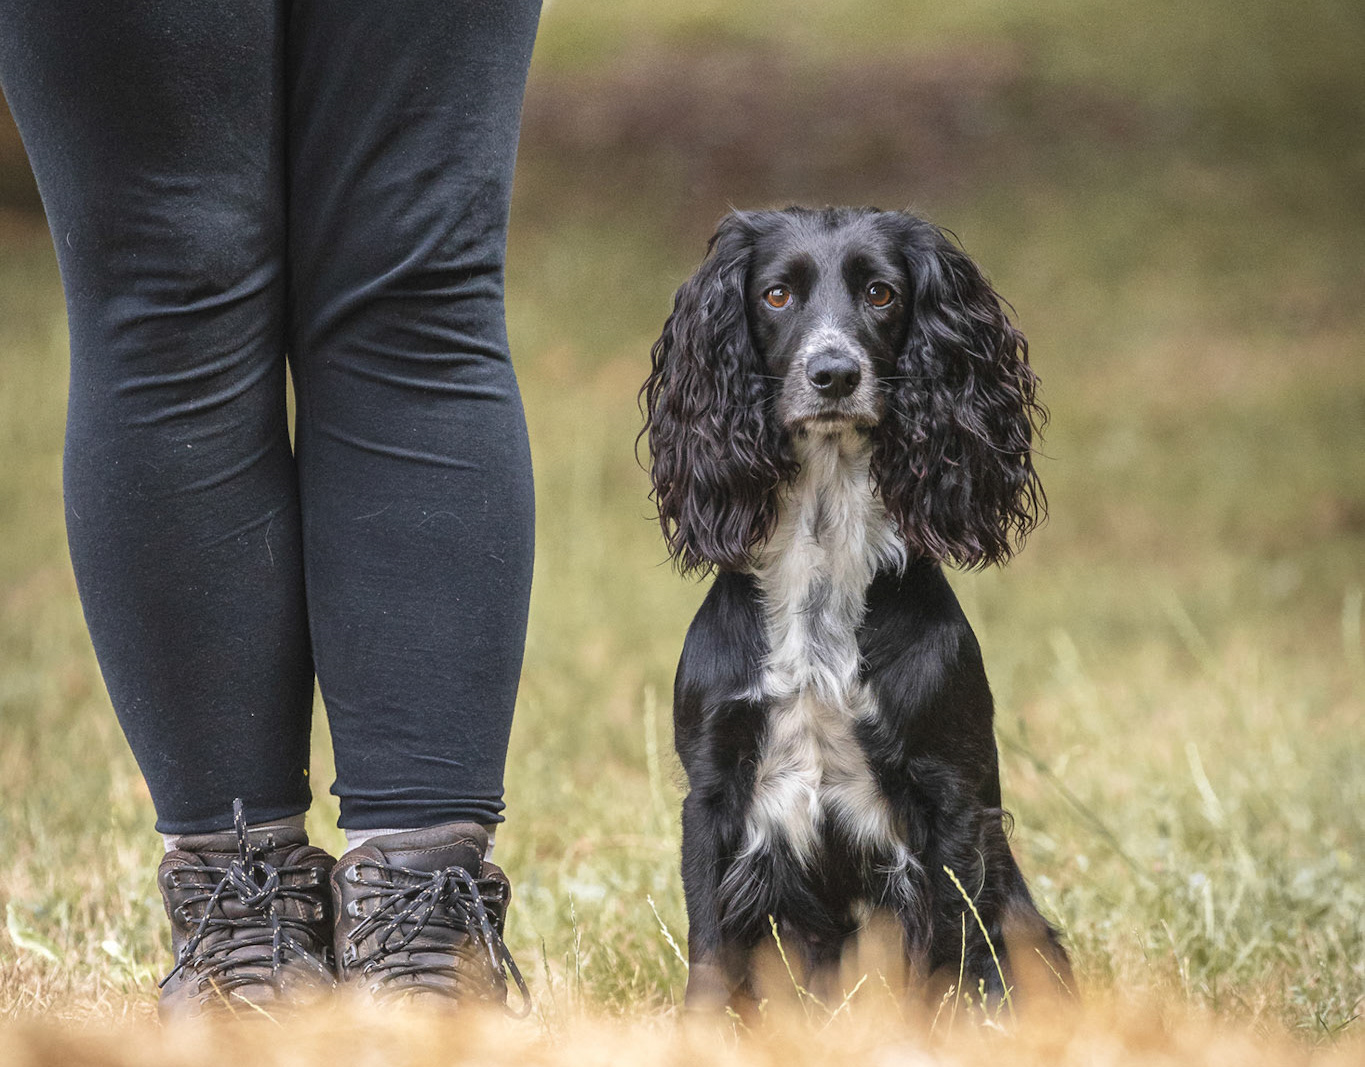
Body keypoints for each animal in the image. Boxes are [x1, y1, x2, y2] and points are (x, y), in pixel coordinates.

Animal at [642, 207, 1073, 1014]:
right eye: (777, 295)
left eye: (880, 292)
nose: (833, 374)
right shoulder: (712, 791)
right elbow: (712, 956)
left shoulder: (950, 796)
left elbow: (948, 957)